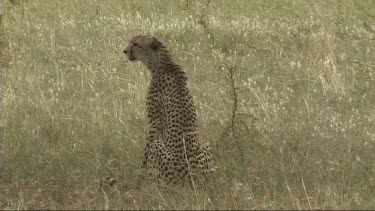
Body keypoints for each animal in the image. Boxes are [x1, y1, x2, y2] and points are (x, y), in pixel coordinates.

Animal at [123, 35, 214, 185]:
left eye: (135, 44)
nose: (124, 51)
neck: (164, 64)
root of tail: (189, 178)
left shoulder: (154, 123)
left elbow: (146, 150)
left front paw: (140, 172)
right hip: (206, 145)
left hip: (159, 149)